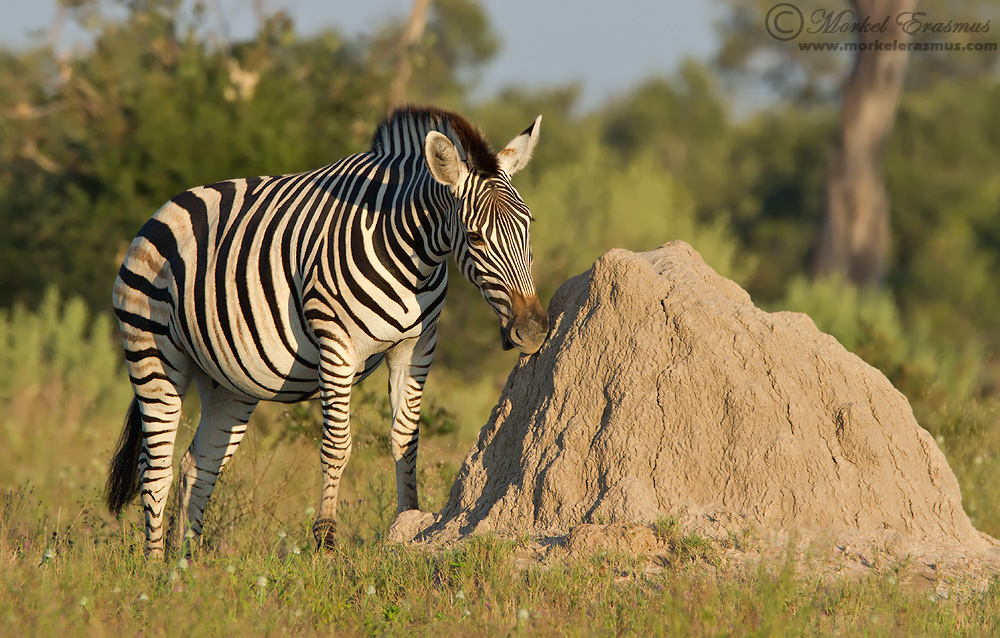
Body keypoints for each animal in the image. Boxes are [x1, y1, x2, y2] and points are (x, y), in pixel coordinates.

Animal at [105, 106, 548, 557]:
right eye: (475, 236)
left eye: (529, 224)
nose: (532, 332)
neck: (414, 258)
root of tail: (166, 207)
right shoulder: (336, 342)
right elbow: (337, 444)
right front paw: (326, 538)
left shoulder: (416, 346)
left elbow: (405, 440)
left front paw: (407, 521)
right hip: (153, 354)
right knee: (155, 468)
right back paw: (155, 566)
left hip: (225, 381)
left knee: (198, 464)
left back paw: (186, 563)